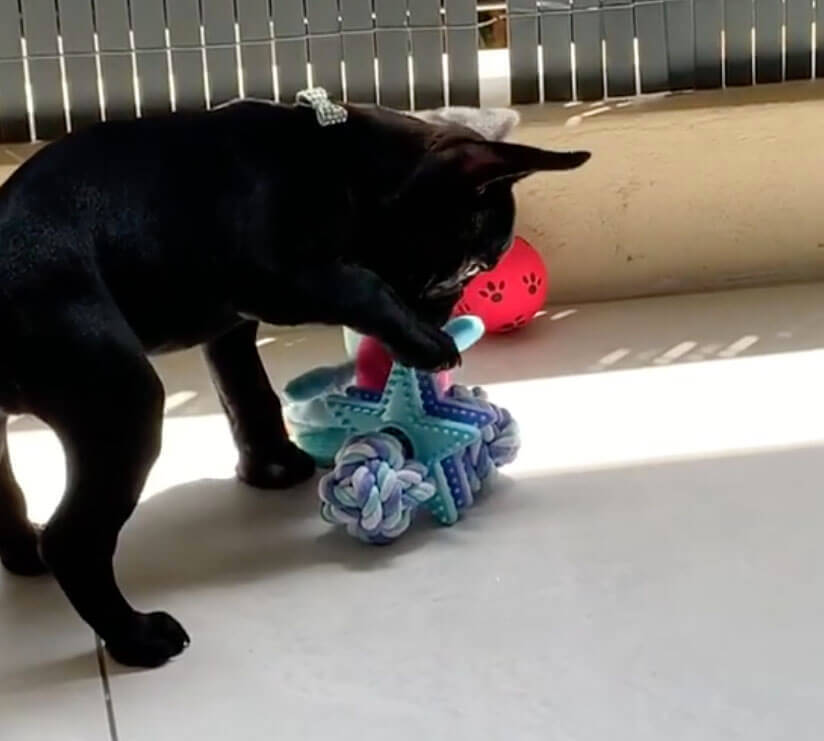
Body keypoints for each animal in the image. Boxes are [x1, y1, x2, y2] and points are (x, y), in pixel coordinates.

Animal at [0, 97, 589, 667]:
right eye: (466, 273)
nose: (444, 321)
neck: (336, 162)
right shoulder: (284, 278)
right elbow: (363, 285)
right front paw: (426, 342)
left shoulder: (232, 326)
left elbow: (248, 395)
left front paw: (271, 466)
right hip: (123, 400)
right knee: (76, 538)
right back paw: (137, 638)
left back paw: (25, 553)